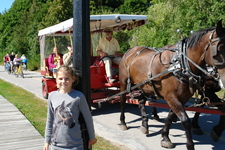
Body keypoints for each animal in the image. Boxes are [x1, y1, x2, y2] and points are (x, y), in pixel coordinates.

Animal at [118, 20, 225, 150]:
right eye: (219, 50)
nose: (223, 80)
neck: (180, 64)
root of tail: (130, 51)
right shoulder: (172, 96)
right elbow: (185, 120)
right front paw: (190, 144)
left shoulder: (182, 97)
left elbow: (171, 115)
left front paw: (165, 137)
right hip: (124, 82)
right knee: (123, 100)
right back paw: (123, 122)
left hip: (143, 85)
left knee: (142, 101)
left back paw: (145, 124)